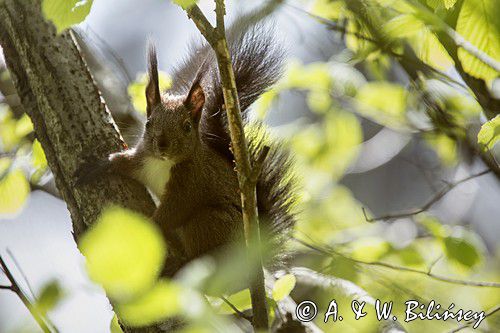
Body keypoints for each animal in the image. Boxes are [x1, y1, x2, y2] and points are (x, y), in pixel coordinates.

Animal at [77, 23, 296, 272]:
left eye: (187, 127)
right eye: (149, 122)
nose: (162, 145)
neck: (163, 163)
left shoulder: (192, 182)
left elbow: (173, 211)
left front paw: (151, 225)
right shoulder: (143, 160)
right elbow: (126, 163)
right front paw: (99, 165)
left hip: (210, 222)